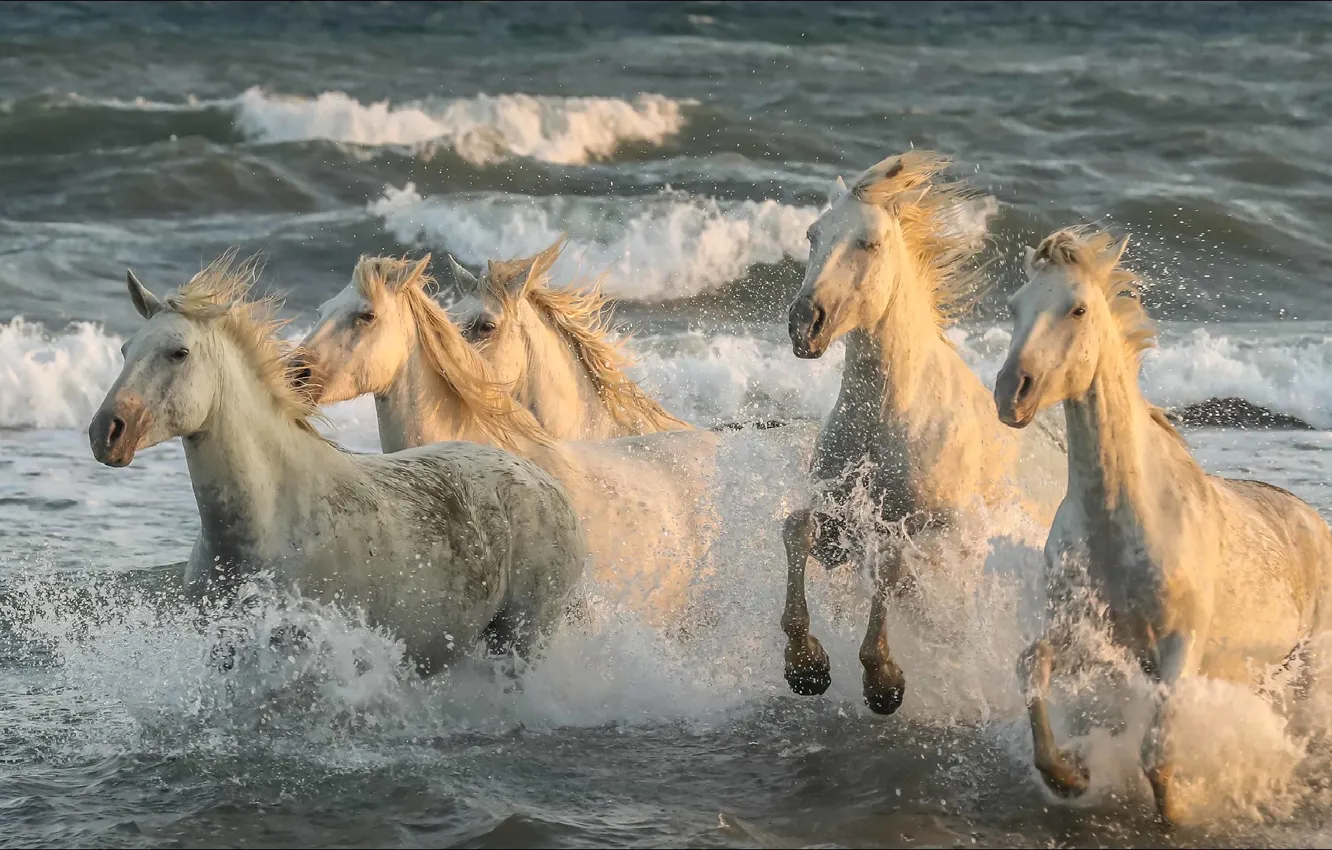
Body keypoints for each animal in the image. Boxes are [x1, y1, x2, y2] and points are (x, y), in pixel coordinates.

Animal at [87, 253, 589, 675]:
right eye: (125, 349)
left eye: (179, 353)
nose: (104, 433)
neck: (267, 522)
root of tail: (548, 483)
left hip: (523, 638)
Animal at [781, 150, 1068, 715]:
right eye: (812, 234)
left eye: (868, 242)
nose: (805, 323)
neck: (887, 416)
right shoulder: (840, 525)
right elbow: (796, 529)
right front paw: (806, 664)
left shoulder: (941, 535)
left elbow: (893, 566)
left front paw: (883, 680)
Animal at [993, 227, 1332, 824]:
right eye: (1015, 307)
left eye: (1077, 308)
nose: (1012, 391)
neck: (1124, 515)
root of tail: (1317, 522)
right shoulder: (1086, 633)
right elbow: (1031, 665)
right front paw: (1070, 776)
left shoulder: (1180, 648)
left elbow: (1156, 751)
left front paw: (1182, 811)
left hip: (1309, 670)